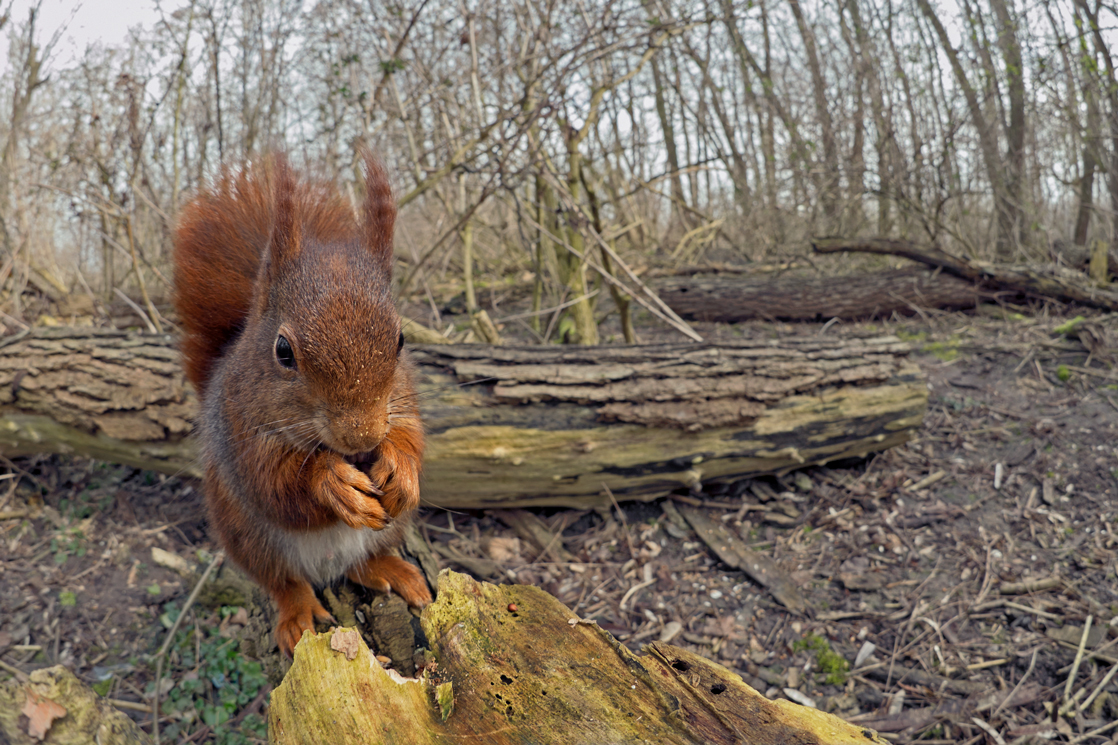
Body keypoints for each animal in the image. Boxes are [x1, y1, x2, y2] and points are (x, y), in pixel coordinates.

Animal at [172, 152, 429, 657]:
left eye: (401, 340)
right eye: (283, 351)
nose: (362, 436)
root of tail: (326, 566)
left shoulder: (403, 404)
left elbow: (411, 435)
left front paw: (401, 467)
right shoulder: (241, 431)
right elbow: (276, 483)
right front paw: (331, 481)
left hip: (390, 529)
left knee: (363, 561)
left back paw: (391, 569)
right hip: (247, 536)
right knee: (284, 582)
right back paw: (297, 615)